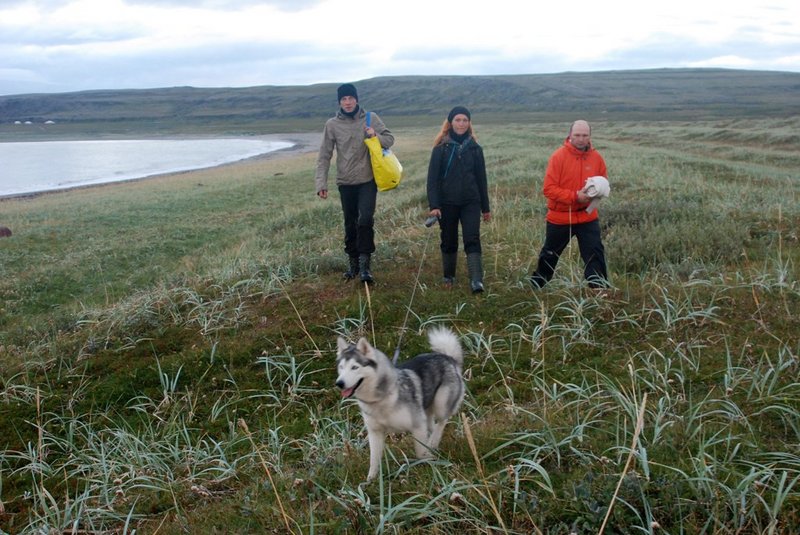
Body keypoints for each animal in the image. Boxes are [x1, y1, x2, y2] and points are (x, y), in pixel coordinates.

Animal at [336, 326, 466, 482]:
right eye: (341, 367)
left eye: (355, 367)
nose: (339, 383)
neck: (381, 399)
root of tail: (448, 357)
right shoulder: (375, 432)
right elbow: (374, 460)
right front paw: (371, 481)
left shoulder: (417, 425)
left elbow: (420, 453)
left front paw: (427, 462)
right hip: (427, 411)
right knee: (433, 425)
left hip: (441, 405)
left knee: (442, 421)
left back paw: (433, 442)